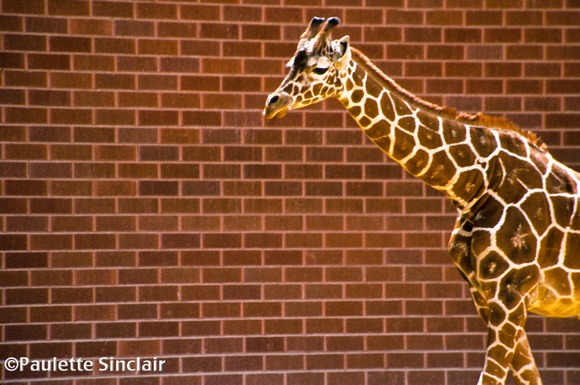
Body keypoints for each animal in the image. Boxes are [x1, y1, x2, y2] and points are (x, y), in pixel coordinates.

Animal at [264, 17, 580, 384]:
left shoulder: (509, 293)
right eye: (289, 63)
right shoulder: (486, 296)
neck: (475, 185)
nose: (272, 104)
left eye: (319, 68)